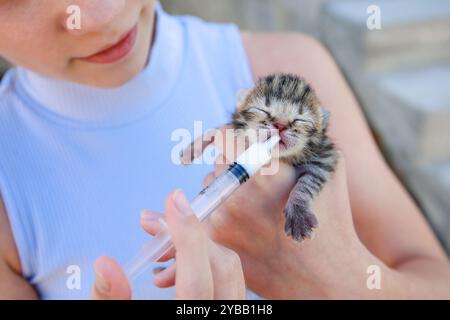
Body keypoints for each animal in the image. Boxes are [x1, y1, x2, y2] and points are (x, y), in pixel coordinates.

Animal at [179, 74, 338, 241]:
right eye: (263, 110)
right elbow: (218, 130)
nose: (280, 126)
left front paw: (298, 215)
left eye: (300, 120)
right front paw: (191, 149)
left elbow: (307, 183)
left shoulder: (324, 156)